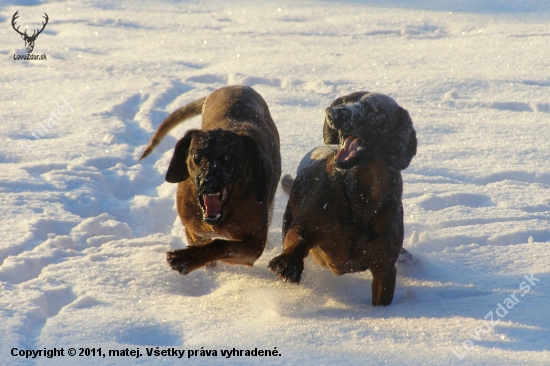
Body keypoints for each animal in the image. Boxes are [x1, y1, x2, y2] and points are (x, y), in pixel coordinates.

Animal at [140, 86, 282, 274]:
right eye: (197, 156)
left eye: (229, 158)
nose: (207, 183)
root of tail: (235, 86)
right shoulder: (193, 229)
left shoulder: (254, 244)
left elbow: (220, 244)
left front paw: (188, 258)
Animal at [268, 91, 418, 306]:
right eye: (347, 100)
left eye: (374, 109)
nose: (332, 112)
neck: (360, 195)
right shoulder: (306, 225)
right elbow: (298, 238)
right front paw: (289, 263)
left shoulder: (385, 269)